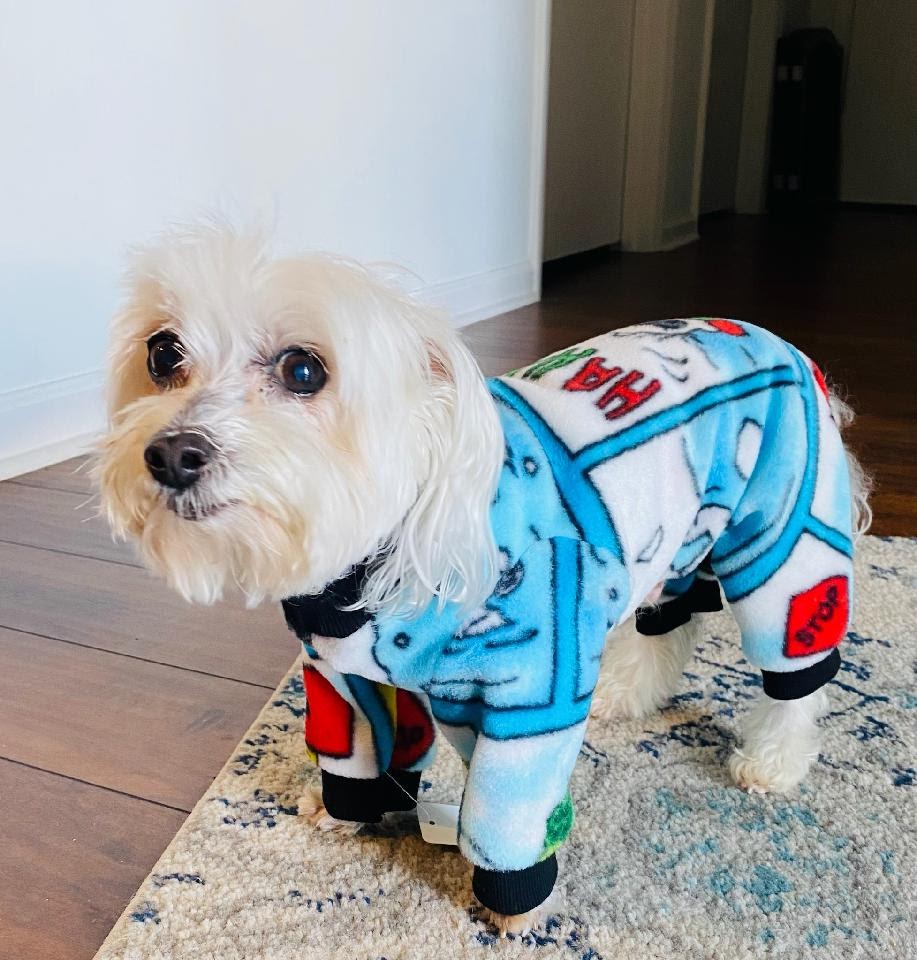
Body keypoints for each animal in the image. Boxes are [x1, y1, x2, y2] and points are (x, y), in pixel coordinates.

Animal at [96, 221, 868, 932]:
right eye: (162, 353)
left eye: (303, 370)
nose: (171, 454)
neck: (381, 562)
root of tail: (777, 340)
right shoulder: (340, 673)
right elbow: (363, 749)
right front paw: (347, 809)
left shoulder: (533, 694)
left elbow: (507, 815)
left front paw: (518, 908)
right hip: (684, 539)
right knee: (668, 623)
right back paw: (627, 691)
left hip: (784, 532)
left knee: (795, 670)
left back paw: (773, 760)